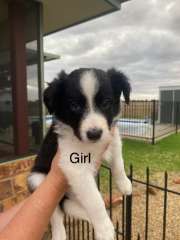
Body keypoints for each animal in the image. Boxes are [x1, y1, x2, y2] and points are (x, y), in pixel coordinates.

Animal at [27, 67, 132, 240]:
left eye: (106, 103)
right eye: (74, 106)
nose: (94, 134)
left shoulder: (112, 138)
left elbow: (118, 162)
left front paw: (125, 184)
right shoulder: (75, 167)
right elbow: (95, 201)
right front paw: (104, 230)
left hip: (72, 197)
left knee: (72, 208)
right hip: (37, 179)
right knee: (56, 213)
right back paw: (60, 234)